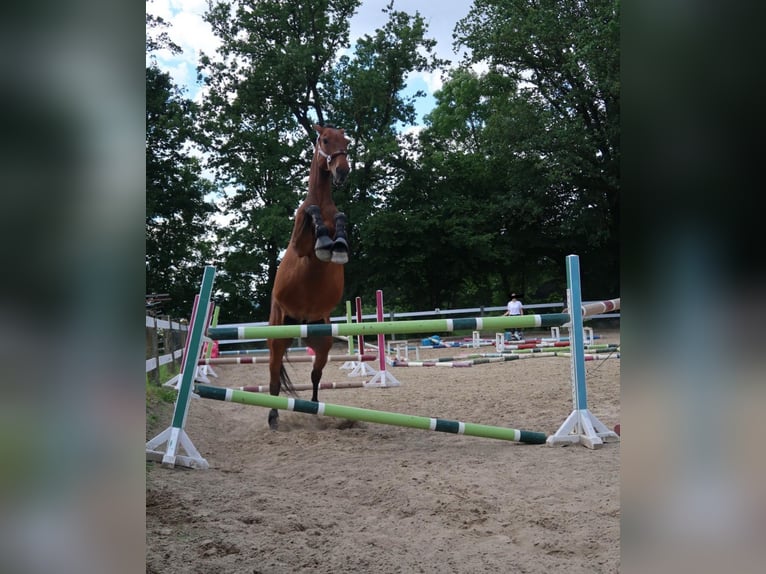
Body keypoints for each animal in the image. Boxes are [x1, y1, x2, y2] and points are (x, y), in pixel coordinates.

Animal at [268, 126, 352, 432]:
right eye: (325, 140)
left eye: (346, 142)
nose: (342, 171)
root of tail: (299, 321)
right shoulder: (301, 246)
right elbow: (311, 215)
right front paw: (325, 241)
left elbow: (341, 217)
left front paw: (338, 244)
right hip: (276, 339)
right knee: (273, 380)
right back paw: (273, 417)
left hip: (322, 342)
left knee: (316, 375)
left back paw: (314, 407)